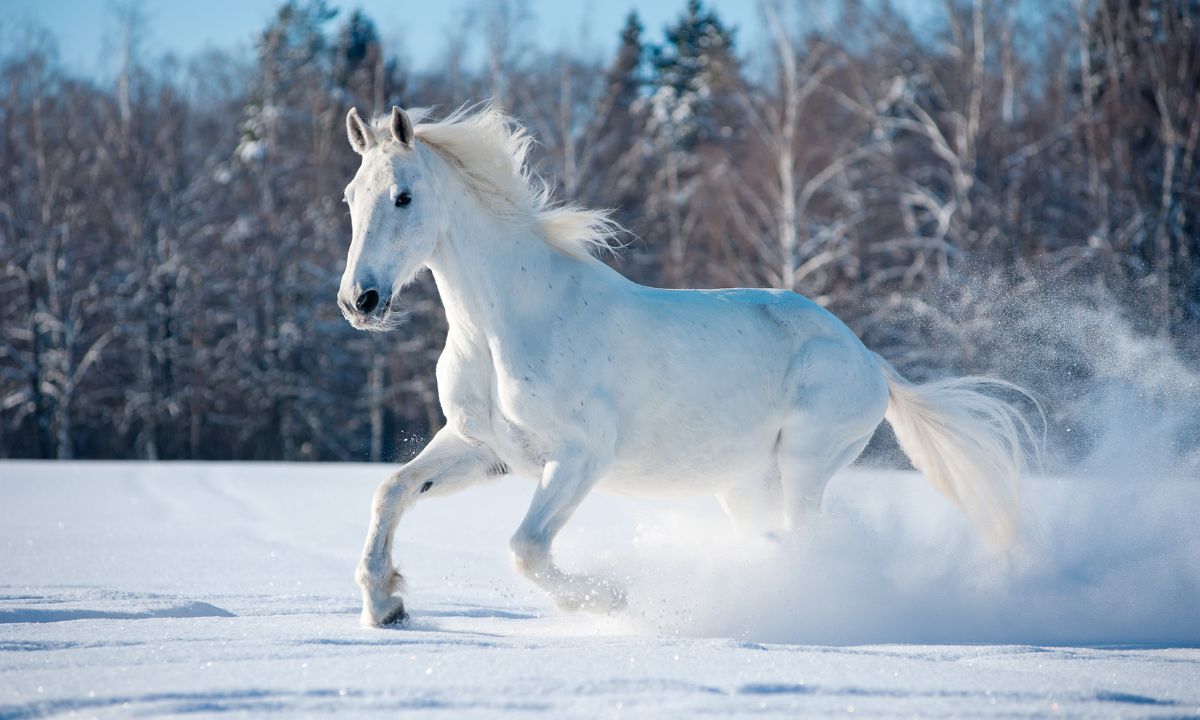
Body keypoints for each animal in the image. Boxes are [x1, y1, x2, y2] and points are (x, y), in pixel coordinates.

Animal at [336, 103, 1032, 628]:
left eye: (403, 196)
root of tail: (868, 359)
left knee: (804, 542)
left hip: (805, 464)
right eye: (349, 197)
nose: (359, 301)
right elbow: (391, 491)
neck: (508, 325)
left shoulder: (581, 456)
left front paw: (611, 600)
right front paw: (386, 605)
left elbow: (526, 549)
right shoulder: (484, 448)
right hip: (744, 484)